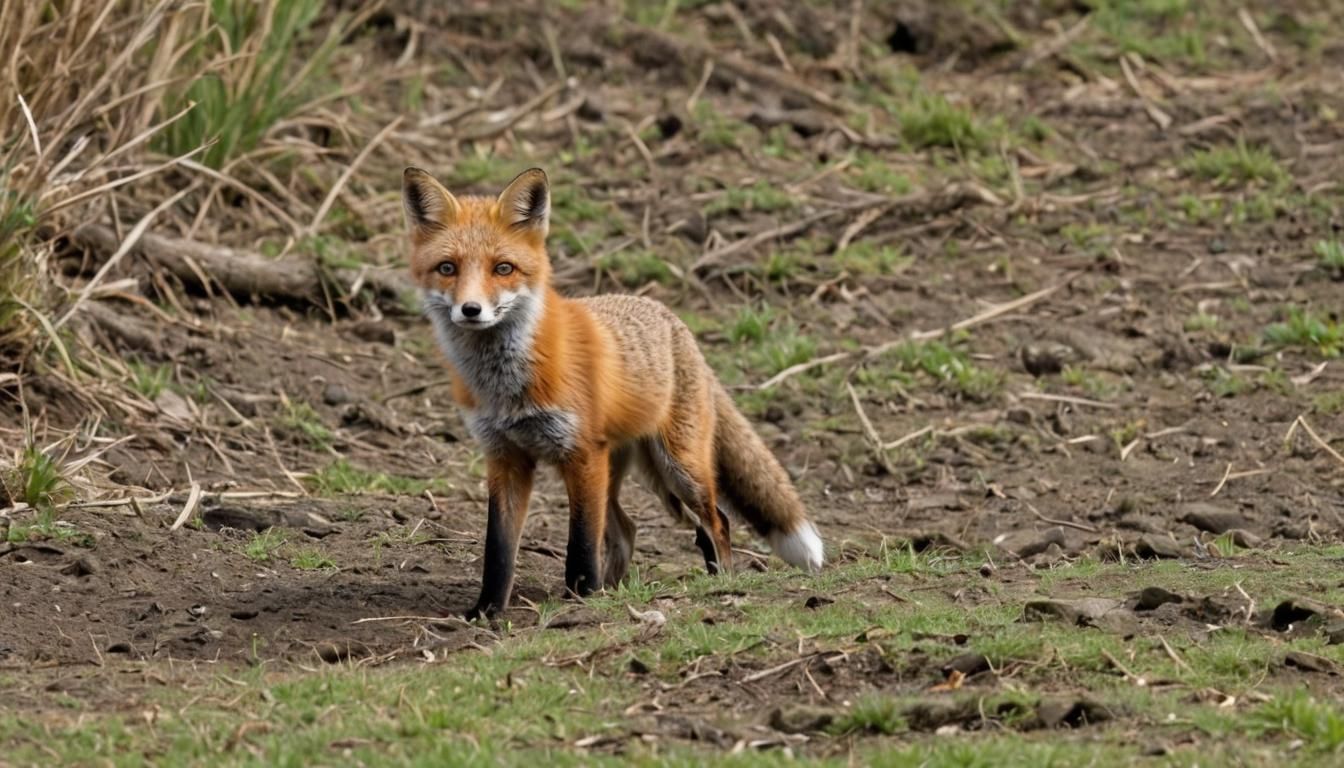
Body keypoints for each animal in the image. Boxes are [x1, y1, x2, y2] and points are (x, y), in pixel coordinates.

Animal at [402, 166, 824, 618]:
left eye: (503, 268)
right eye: (447, 268)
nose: (471, 310)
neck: (507, 385)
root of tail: (674, 321)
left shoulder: (582, 453)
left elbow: (581, 545)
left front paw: (582, 599)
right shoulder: (505, 456)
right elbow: (498, 549)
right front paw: (487, 612)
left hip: (677, 467)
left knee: (717, 521)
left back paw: (719, 581)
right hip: (626, 471)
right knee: (627, 529)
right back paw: (618, 589)